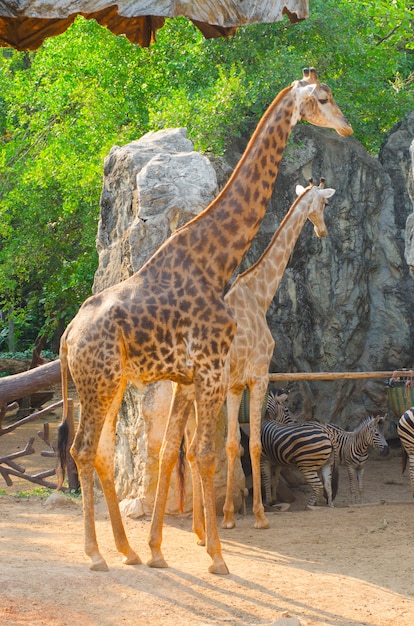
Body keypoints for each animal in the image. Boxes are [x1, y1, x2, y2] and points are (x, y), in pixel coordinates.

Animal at [56, 68, 350, 576]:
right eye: (325, 97)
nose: (348, 128)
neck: (218, 263)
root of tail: (69, 335)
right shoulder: (216, 371)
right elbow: (211, 452)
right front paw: (217, 555)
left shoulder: (192, 377)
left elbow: (187, 450)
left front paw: (162, 548)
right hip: (98, 384)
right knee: (82, 450)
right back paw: (96, 555)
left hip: (109, 386)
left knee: (102, 453)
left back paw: (128, 550)